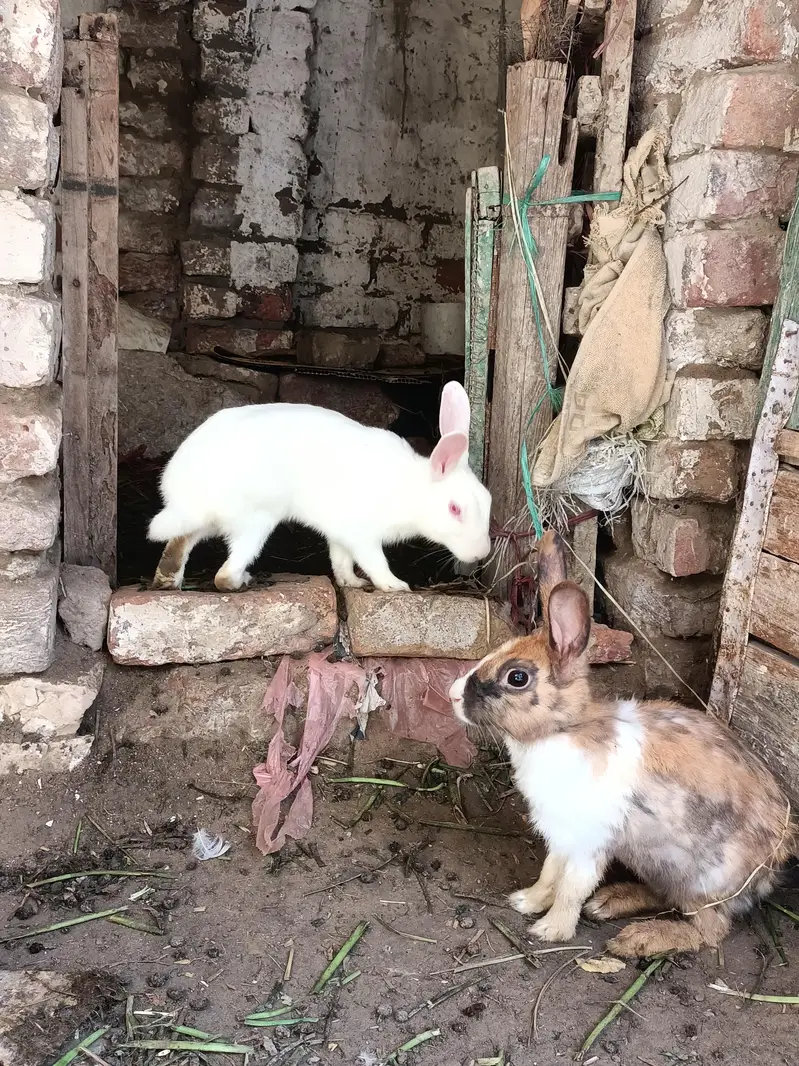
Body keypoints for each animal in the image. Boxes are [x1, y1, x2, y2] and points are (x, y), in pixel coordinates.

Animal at [148, 380, 492, 594]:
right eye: (455, 508)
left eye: (488, 501)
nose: (481, 553)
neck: (411, 490)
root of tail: (182, 492)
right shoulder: (362, 533)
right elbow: (374, 561)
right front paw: (394, 585)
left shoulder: (338, 533)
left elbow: (341, 561)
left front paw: (351, 583)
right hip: (256, 520)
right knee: (224, 575)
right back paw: (241, 579)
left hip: (208, 522)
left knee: (182, 541)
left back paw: (167, 577)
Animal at [449, 549, 794, 957]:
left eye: (517, 677)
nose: (453, 695)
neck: (565, 731)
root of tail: (774, 864)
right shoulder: (562, 834)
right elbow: (550, 873)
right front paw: (526, 901)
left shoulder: (589, 840)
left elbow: (572, 887)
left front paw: (551, 930)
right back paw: (610, 903)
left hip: (696, 879)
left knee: (709, 932)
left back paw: (638, 939)